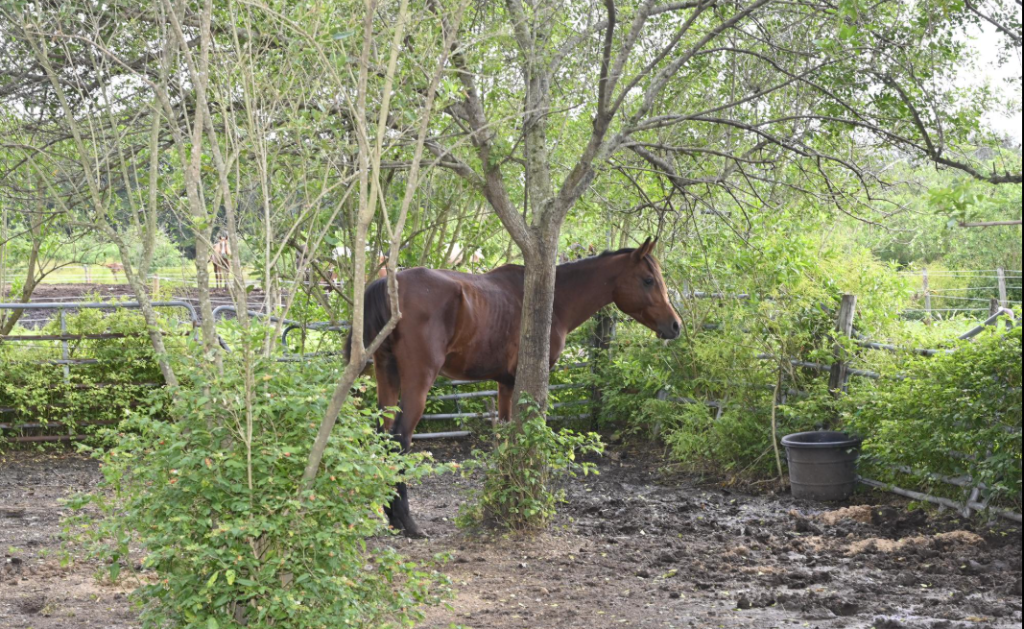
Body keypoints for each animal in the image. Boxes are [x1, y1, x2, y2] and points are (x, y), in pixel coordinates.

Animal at [352, 238, 681, 538]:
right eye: (649, 280)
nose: (676, 325)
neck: (554, 301)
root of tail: (388, 284)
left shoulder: (505, 383)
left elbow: (506, 437)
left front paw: (504, 495)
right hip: (418, 381)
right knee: (400, 438)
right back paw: (407, 522)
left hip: (387, 375)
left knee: (384, 435)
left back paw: (391, 515)